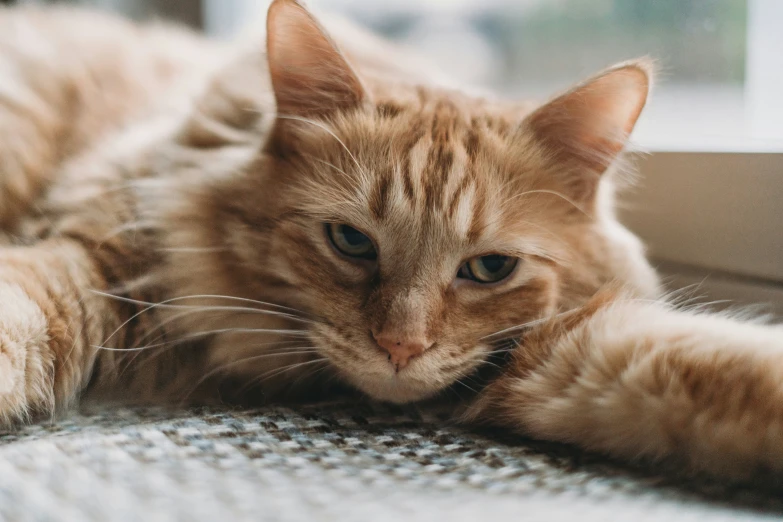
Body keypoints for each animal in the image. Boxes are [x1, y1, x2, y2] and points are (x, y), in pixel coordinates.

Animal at [0, 0, 776, 484]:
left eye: (489, 268)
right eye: (350, 241)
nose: (400, 348)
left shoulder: (560, 352)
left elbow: (711, 365)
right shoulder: (96, 255)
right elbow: (24, 313)